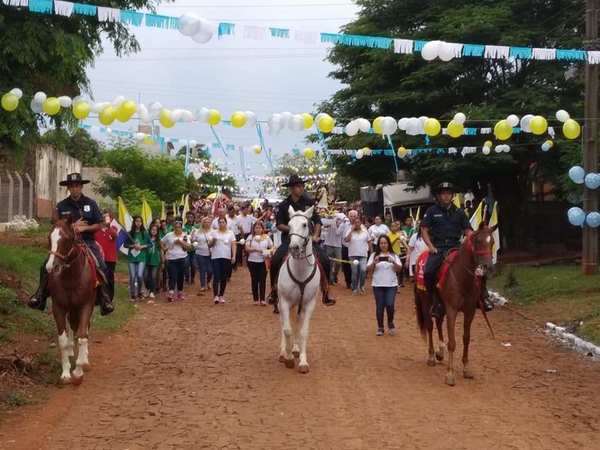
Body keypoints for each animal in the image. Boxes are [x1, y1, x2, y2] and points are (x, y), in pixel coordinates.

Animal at [46, 217, 98, 384]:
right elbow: (62, 340)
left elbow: (82, 336)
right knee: (71, 329)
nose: (51, 267)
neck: (71, 277)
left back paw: (84, 359)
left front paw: (79, 371)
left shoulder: (86, 305)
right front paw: (66, 373)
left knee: (84, 330)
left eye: (67, 239)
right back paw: (70, 350)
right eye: (49, 238)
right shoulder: (59, 307)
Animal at [278, 206, 322, 374]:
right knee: (283, 323)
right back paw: (284, 352)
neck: (301, 271)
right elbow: (287, 329)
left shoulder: (309, 304)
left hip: (299, 304)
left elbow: (303, 331)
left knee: (296, 321)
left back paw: (295, 348)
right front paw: (289, 358)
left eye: (304, 224)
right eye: (289, 225)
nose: (294, 247)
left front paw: (303, 362)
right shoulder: (284, 301)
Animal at [414, 225, 494, 386]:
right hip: (425, 300)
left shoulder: (470, 311)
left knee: (438, 322)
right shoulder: (452, 310)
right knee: (430, 325)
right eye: (478, 241)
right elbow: (452, 342)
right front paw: (450, 374)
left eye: (492, 242)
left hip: (441, 306)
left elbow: (466, 338)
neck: (462, 277)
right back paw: (431, 356)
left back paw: (440, 351)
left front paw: (466, 369)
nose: (487, 266)